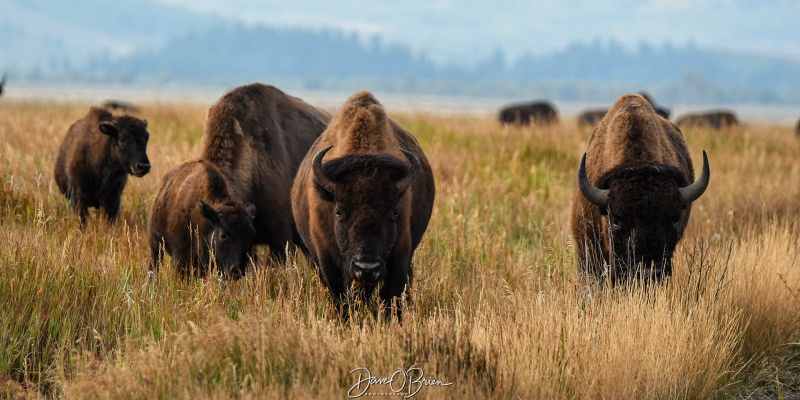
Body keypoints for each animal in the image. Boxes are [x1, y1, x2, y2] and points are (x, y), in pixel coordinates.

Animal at [290, 90, 434, 318]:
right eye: (339, 212)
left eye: (394, 213)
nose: (367, 268)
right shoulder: (326, 259)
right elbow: (340, 296)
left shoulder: (400, 255)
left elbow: (391, 296)